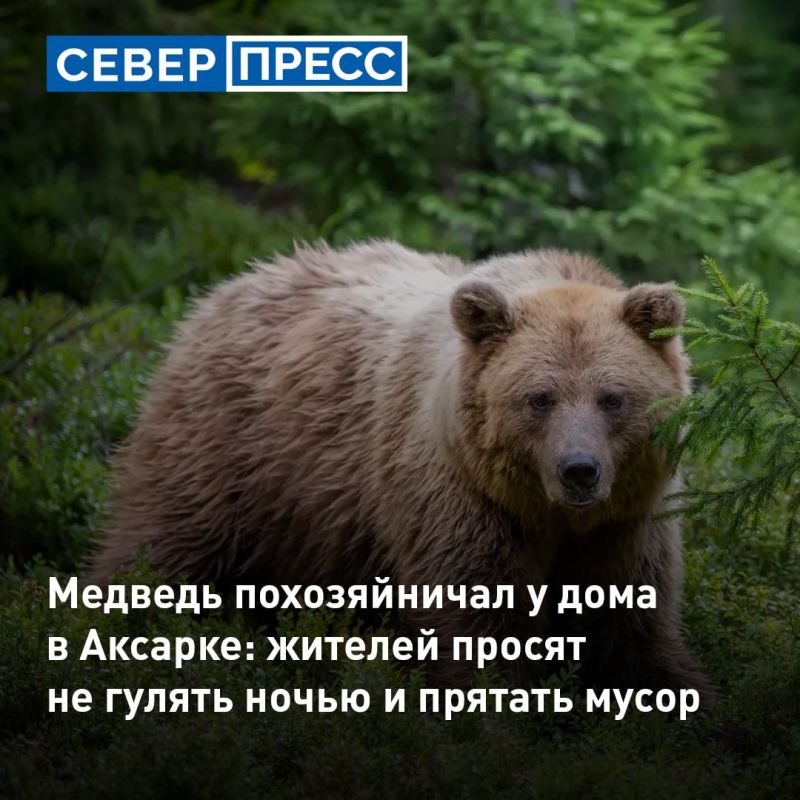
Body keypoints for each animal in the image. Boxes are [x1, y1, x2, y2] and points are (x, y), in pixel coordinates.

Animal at [89, 240, 713, 701]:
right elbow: (475, 631)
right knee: (161, 547)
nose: (578, 471)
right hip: (227, 450)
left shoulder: (627, 521)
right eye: (539, 398)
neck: (547, 515)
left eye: (613, 398)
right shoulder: (458, 499)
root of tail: (228, 286)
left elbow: (635, 631)